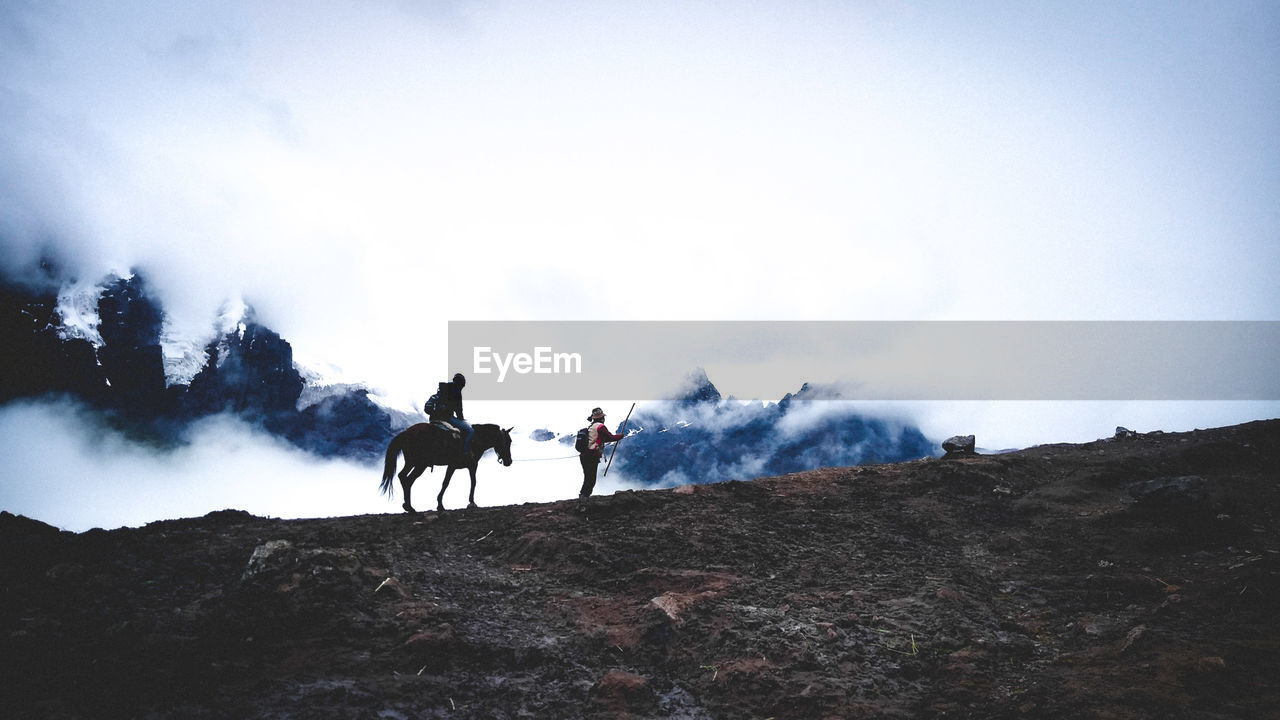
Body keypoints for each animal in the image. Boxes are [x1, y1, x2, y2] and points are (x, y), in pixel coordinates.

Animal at [376, 420, 512, 509]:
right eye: (509, 441)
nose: (509, 461)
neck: (476, 439)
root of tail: (406, 432)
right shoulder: (466, 465)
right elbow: (462, 482)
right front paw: (469, 502)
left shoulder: (459, 466)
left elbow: (454, 482)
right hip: (420, 464)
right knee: (408, 480)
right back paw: (409, 507)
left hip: (411, 463)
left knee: (402, 476)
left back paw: (407, 505)